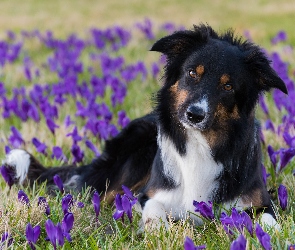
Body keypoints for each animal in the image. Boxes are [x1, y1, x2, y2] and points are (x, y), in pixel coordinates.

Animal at [2, 24, 290, 229]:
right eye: (192, 73)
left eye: (228, 85)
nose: (194, 114)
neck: (201, 143)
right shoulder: (151, 194)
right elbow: (155, 212)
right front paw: (155, 230)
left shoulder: (259, 203)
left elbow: (270, 222)